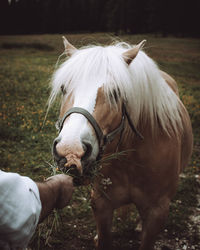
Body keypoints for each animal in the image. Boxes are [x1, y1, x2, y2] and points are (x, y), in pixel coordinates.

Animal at [48, 37, 192, 250]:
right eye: (64, 88)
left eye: (116, 93)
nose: (70, 150)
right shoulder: (101, 204)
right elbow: (104, 238)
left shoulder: (157, 212)